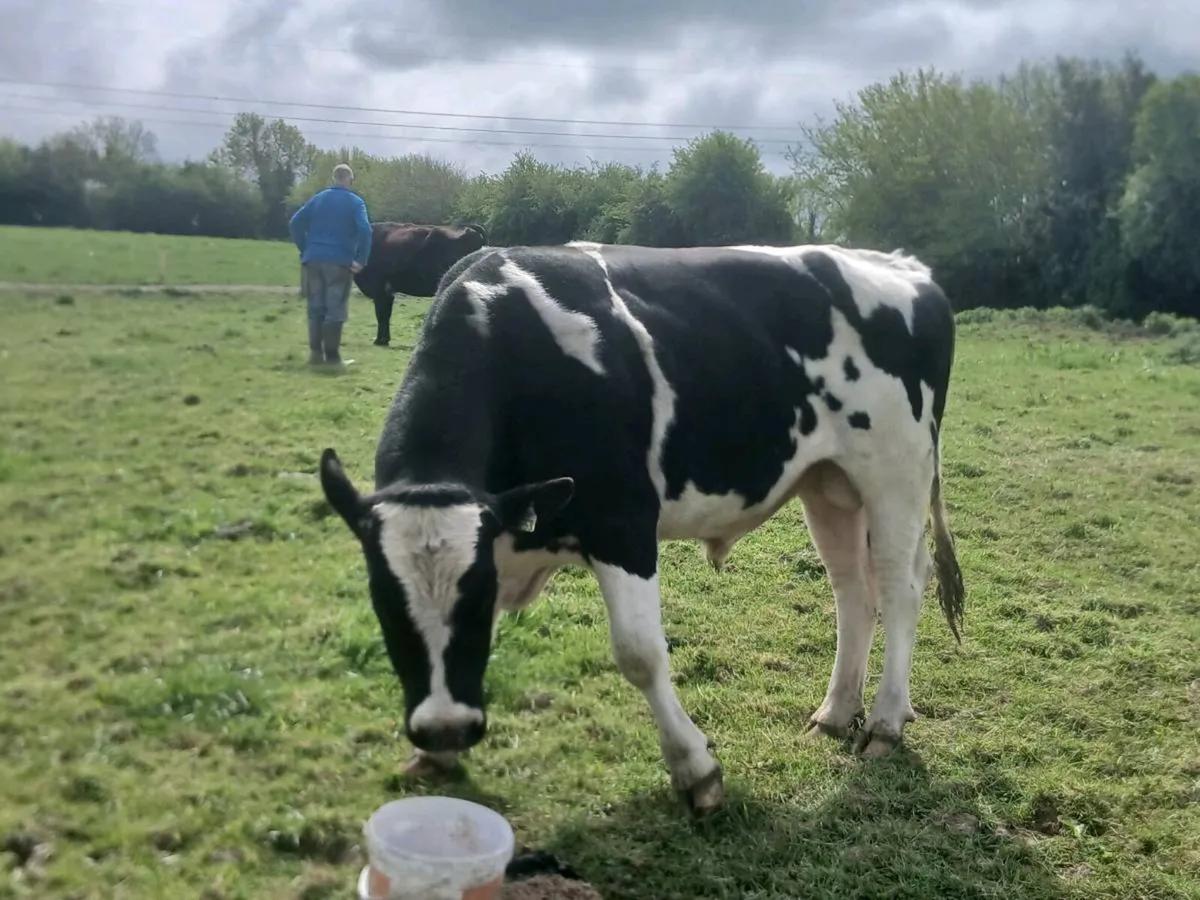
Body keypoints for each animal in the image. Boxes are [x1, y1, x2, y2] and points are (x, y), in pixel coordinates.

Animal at [317, 240, 967, 817]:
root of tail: (906, 268)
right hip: (828, 484)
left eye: (473, 599)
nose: (443, 728)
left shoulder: (622, 520)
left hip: (896, 473)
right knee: (852, 593)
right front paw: (438, 759)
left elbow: (639, 654)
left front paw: (696, 771)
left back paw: (884, 722)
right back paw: (834, 713)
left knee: (899, 590)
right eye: (383, 602)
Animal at [352, 221, 488, 347]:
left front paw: (380, 341)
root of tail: (467, 227)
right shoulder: (387, 291)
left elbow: (381, 314)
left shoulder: (380, 288)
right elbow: (386, 314)